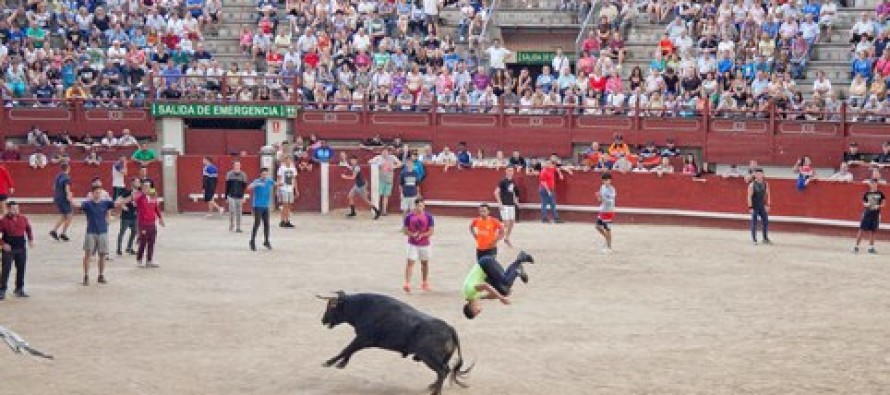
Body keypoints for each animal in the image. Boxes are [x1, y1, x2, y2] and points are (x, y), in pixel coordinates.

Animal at [318, 292, 472, 394]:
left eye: (331, 307)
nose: (322, 320)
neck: (360, 307)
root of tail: (449, 328)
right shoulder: (363, 340)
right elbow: (350, 350)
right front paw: (341, 364)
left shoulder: (364, 338)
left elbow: (346, 349)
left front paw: (328, 363)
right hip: (438, 358)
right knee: (445, 370)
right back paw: (432, 386)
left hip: (428, 357)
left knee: (443, 370)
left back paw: (435, 391)